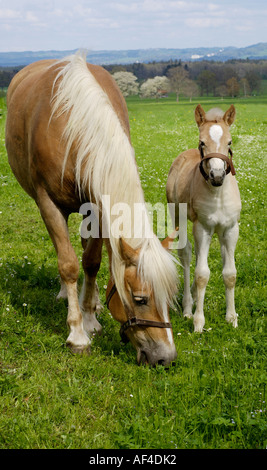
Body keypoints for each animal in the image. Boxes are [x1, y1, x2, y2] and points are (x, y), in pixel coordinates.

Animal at [5, 52, 178, 368]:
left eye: (170, 295)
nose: (166, 358)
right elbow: (69, 264)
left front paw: (89, 318)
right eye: (140, 299)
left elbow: (92, 261)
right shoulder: (49, 204)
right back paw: (66, 294)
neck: (72, 126)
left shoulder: (98, 208)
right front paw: (77, 333)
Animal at [166, 105, 242, 334]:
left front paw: (232, 318)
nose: (217, 176)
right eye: (202, 142)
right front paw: (199, 322)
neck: (218, 194)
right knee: (187, 254)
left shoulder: (231, 229)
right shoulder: (203, 228)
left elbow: (230, 274)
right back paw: (187, 307)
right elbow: (201, 274)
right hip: (178, 217)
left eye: (229, 142)